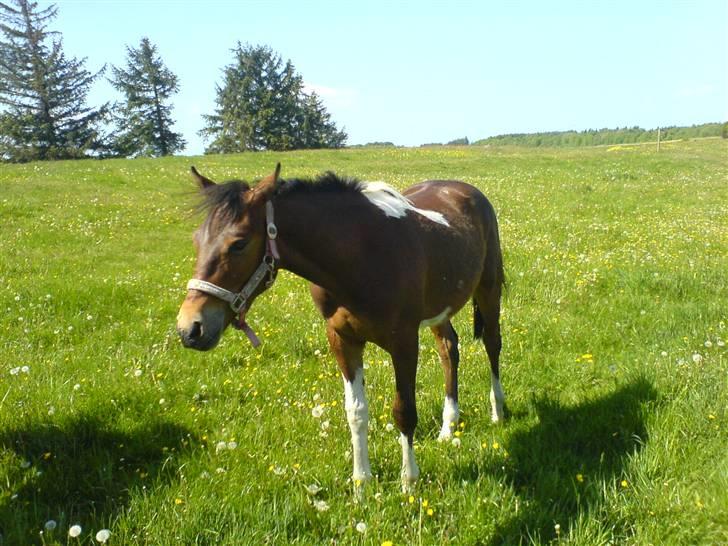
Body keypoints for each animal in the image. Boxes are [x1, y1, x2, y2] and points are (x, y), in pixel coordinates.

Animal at [177, 164, 506, 490]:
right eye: (195, 240)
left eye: (239, 243)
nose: (190, 328)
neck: (360, 257)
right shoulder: (342, 339)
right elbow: (356, 412)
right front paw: (361, 483)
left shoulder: (404, 342)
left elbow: (404, 411)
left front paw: (409, 482)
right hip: (440, 309)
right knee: (449, 349)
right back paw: (448, 426)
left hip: (488, 289)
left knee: (492, 343)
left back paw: (498, 411)